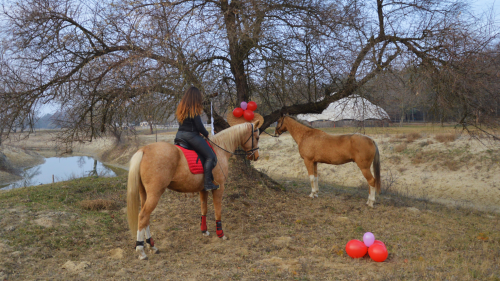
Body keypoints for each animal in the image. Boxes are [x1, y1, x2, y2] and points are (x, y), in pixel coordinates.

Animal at [126, 120, 262, 258]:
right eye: (257, 137)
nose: (256, 156)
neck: (219, 149)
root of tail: (144, 150)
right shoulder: (219, 189)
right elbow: (218, 211)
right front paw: (220, 234)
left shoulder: (203, 189)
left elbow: (204, 209)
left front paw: (204, 231)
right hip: (155, 194)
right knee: (143, 216)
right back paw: (141, 250)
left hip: (144, 194)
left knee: (146, 218)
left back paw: (151, 245)